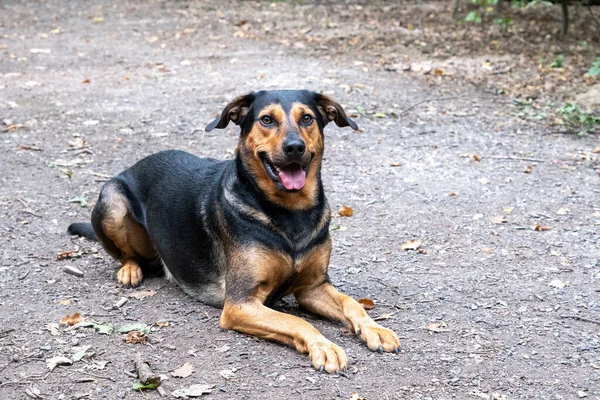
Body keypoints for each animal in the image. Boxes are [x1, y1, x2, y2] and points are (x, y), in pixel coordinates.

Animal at [68, 90, 400, 372]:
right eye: (267, 119)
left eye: (307, 118)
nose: (295, 147)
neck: (290, 213)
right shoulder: (240, 304)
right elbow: (296, 322)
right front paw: (324, 346)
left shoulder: (313, 287)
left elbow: (352, 304)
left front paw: (376, 328)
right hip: (111, 200)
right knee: (127, 253)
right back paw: (130, 270)